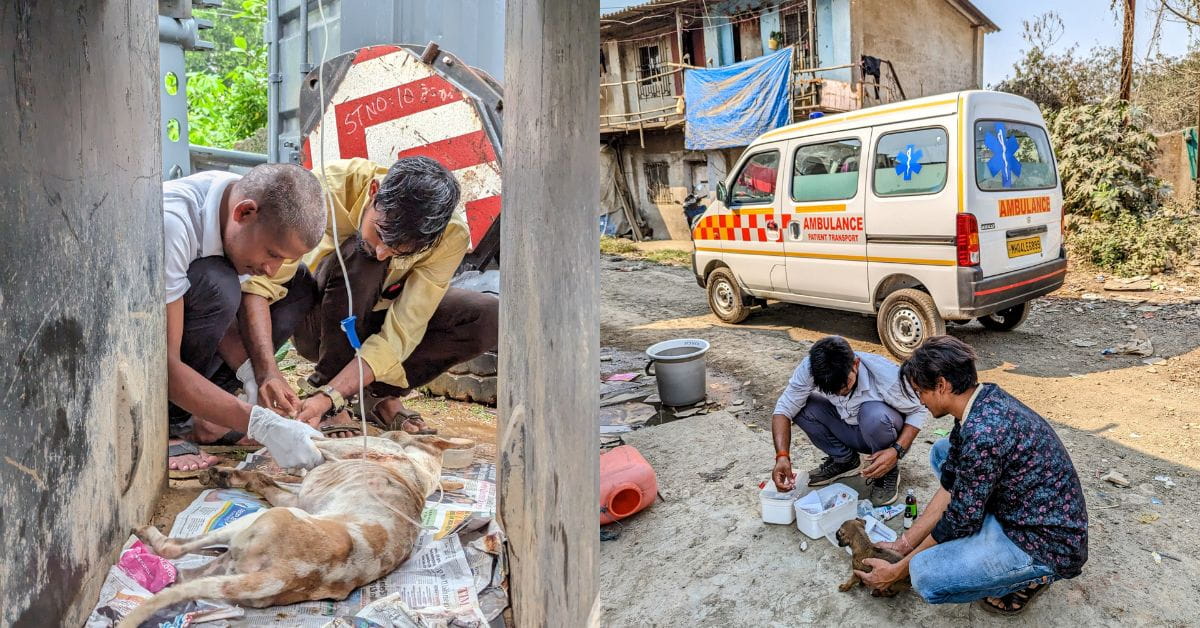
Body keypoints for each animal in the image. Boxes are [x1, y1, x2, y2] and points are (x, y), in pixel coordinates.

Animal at [118, 429, 472, 624]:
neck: (418, 474)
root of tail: (285, 574)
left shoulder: (310, 480)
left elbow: (306, 441)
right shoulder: (298, 494)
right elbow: (261, 477)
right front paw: (226, 475)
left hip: (261, 520)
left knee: (173, 548)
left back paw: (146, 536)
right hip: (233, 563)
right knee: (181, 577)